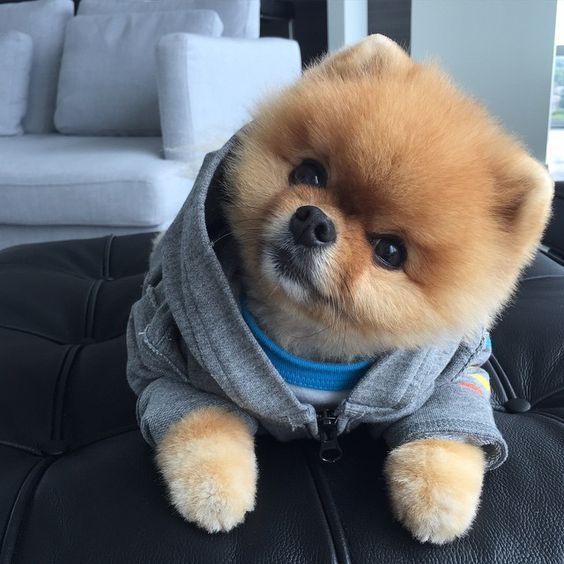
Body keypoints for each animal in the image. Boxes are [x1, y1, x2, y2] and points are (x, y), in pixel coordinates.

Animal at [126, 34, 552, 540]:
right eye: (309, 174)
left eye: (390, 251)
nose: (313, 220)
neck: (310, 344)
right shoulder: (168, 364)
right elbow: (201, 424)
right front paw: (212, 493)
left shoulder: (454, 374)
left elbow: (445, 436)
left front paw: (437, 504)